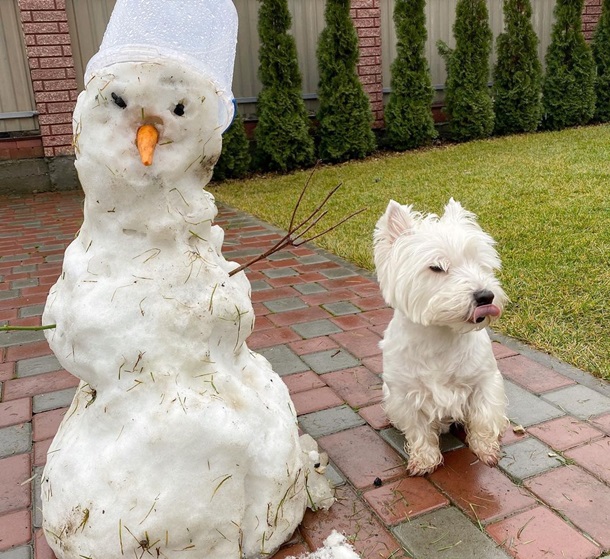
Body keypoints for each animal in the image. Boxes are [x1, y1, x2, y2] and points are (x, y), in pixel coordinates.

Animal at [372, 199, 506, 474]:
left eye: (480, 263)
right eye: (436, 267)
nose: (485, 296)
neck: (440, 333)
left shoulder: (485, 381)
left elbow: (484, 416)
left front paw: (486, 449)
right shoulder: (405, 393)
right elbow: (418, 429)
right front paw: (424, 459)